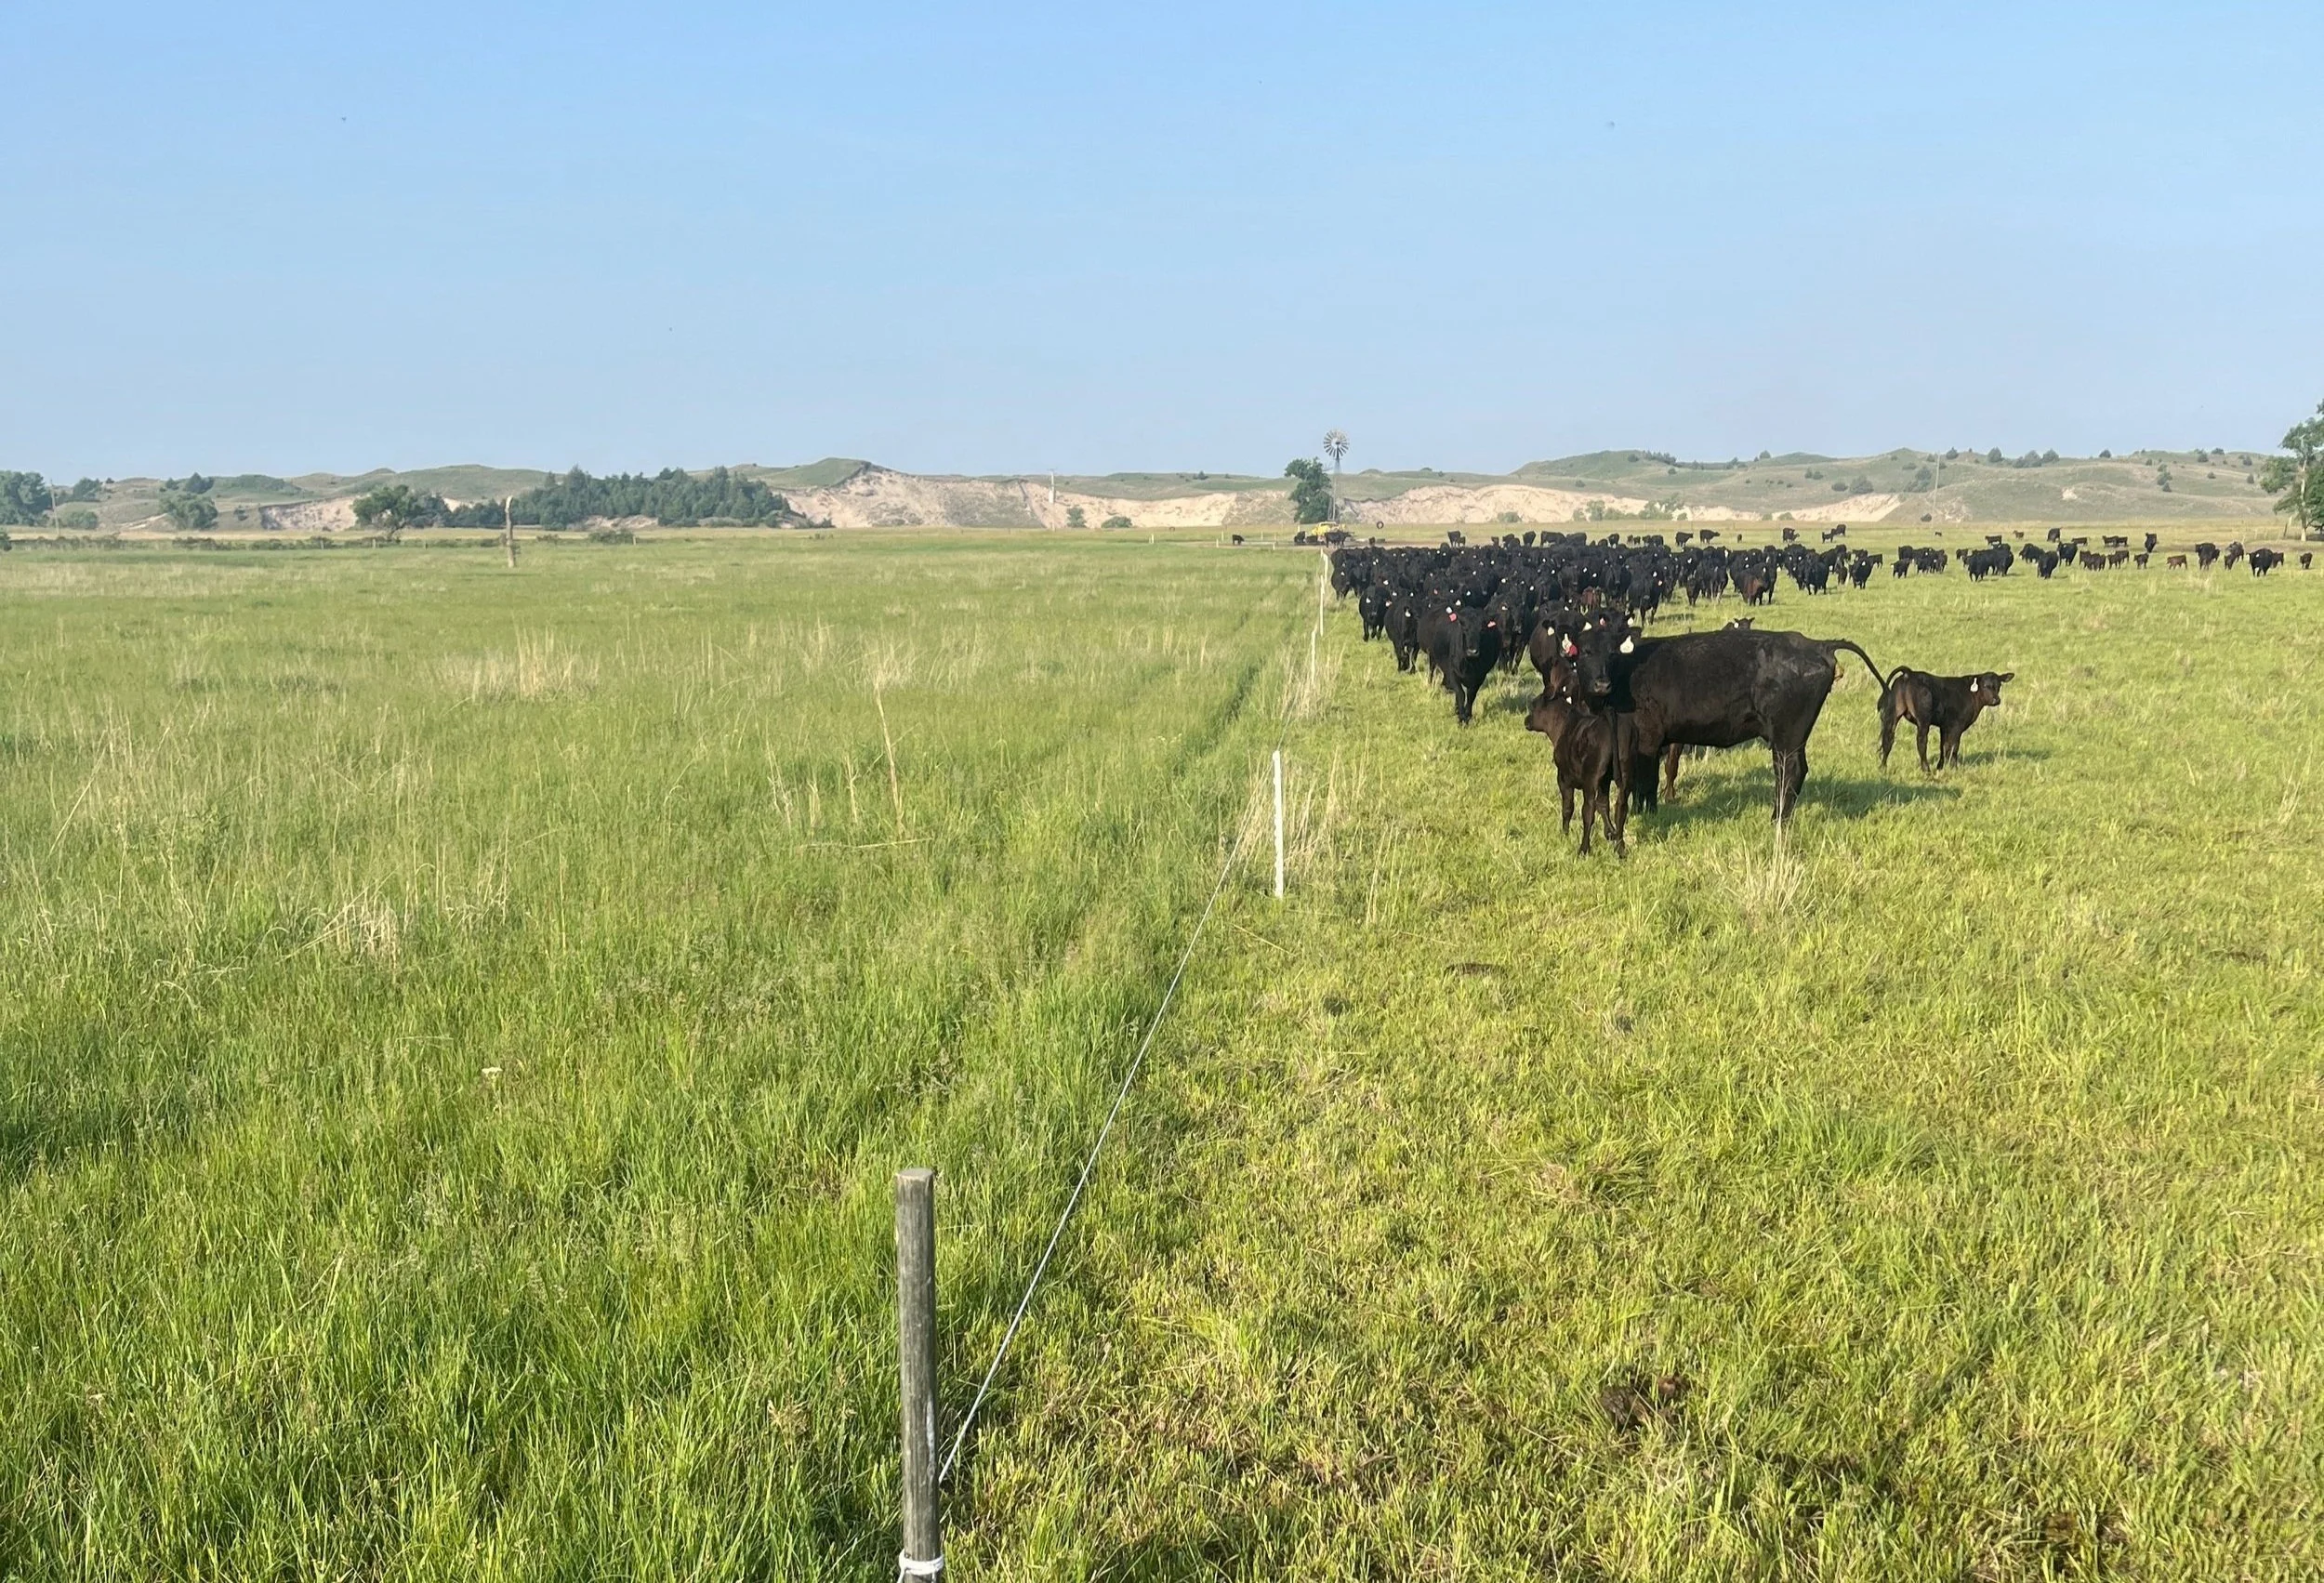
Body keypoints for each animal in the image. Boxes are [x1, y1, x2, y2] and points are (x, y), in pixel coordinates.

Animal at [1877, 668, 2012, 772]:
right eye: (1985, 686)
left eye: (1999, 686)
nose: (1996, 700)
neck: (1971, 695)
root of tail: (1909, 673)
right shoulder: (1957, 725)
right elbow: (1953, 746)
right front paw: (1953, 768)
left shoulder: (1945, 726)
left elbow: (1943, 746)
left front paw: (1940, 767)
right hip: (1923, 719)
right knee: (1921, 741)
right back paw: (1926, 769)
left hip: (1894, 712)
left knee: (1888, 738)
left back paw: (1883, 766)